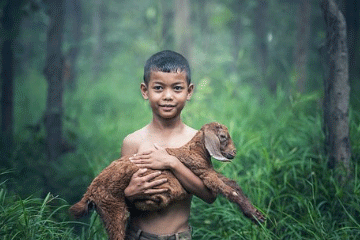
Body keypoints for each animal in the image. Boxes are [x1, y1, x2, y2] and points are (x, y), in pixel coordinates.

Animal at [69, 123, 264, 239]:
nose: (234, 152)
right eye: (223, 137)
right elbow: (230, 191)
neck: (196, 152)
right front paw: (255, 215)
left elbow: (234, 185)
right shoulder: (204, 174)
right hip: (113, 209)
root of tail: (89, 193)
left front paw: (256, 215)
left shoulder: (209, 172)